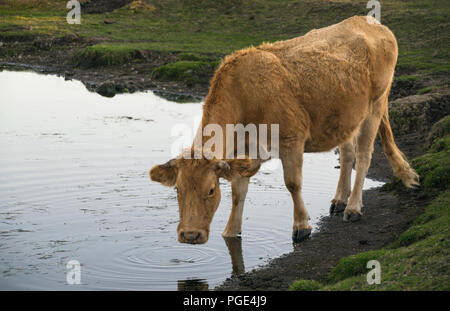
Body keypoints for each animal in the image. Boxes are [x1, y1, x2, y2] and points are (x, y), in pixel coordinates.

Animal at [150, 16, 418, 246]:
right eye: (178, 189)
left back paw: (352, 207)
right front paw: (231, 231)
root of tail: (369, 21)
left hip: (375, 105)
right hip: (346, 114)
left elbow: (292, 183)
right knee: (347, 154)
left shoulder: (291, 139)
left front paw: (301, 226)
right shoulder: (242, 153)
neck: (245, 97)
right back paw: (340, 200)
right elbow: (238, 192)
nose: (190, 235)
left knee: (363, 156)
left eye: (211, 190)